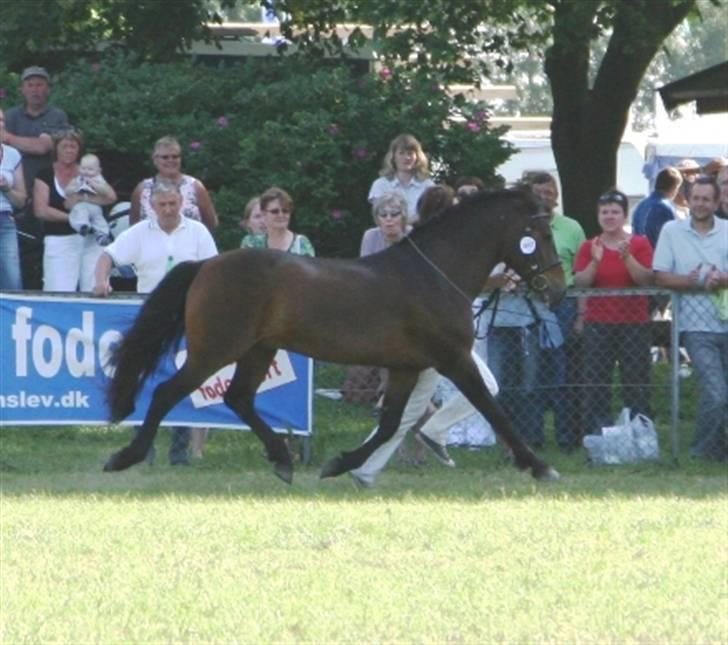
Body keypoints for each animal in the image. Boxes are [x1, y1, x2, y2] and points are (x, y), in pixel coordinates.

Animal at [105, 186, 564, 484]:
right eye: (541, 235)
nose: (557, 288)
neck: (434, 275)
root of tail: (205, 265)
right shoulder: (454, 360)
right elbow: (492, 408)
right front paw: (540, 465)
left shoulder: (407, 367)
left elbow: (390, 423)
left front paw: (341, 465)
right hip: (215, 350)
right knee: (167, 392)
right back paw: (124, 457)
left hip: (258, 349)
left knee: (238, 399)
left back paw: (282, 460)